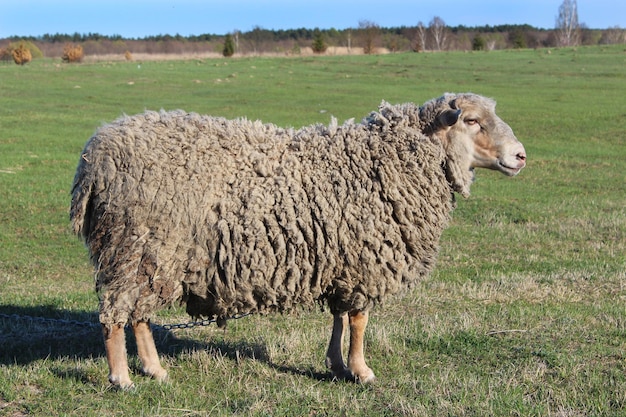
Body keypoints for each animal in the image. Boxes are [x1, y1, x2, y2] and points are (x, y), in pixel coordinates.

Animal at [70, 92, 524, 388]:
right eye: (471, 121)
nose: (520, 156)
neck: (394, 161)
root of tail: (93, 159)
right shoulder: (364, 262)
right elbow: (359, 321)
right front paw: (362, 372)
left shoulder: (343, 262)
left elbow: (340, 318)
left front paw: (338, 365)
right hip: (134, 247)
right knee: (116, 315)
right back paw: (122, 377)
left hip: (149, 256)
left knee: (139, 314)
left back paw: (155, 370)